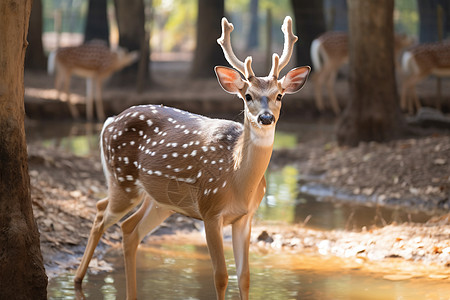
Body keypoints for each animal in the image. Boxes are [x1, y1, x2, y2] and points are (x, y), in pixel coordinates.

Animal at [74, 16, 312, 300]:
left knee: (128, 228)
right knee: (101, 214)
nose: (266, 118)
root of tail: (110, 121)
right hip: (124, 181)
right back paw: (77, 280)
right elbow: (221, 276)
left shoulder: (246, 216)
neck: (238, 180)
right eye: (247, 96)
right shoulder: (210, 210)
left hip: (159, 200)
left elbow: (244, 277)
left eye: (279, 95)